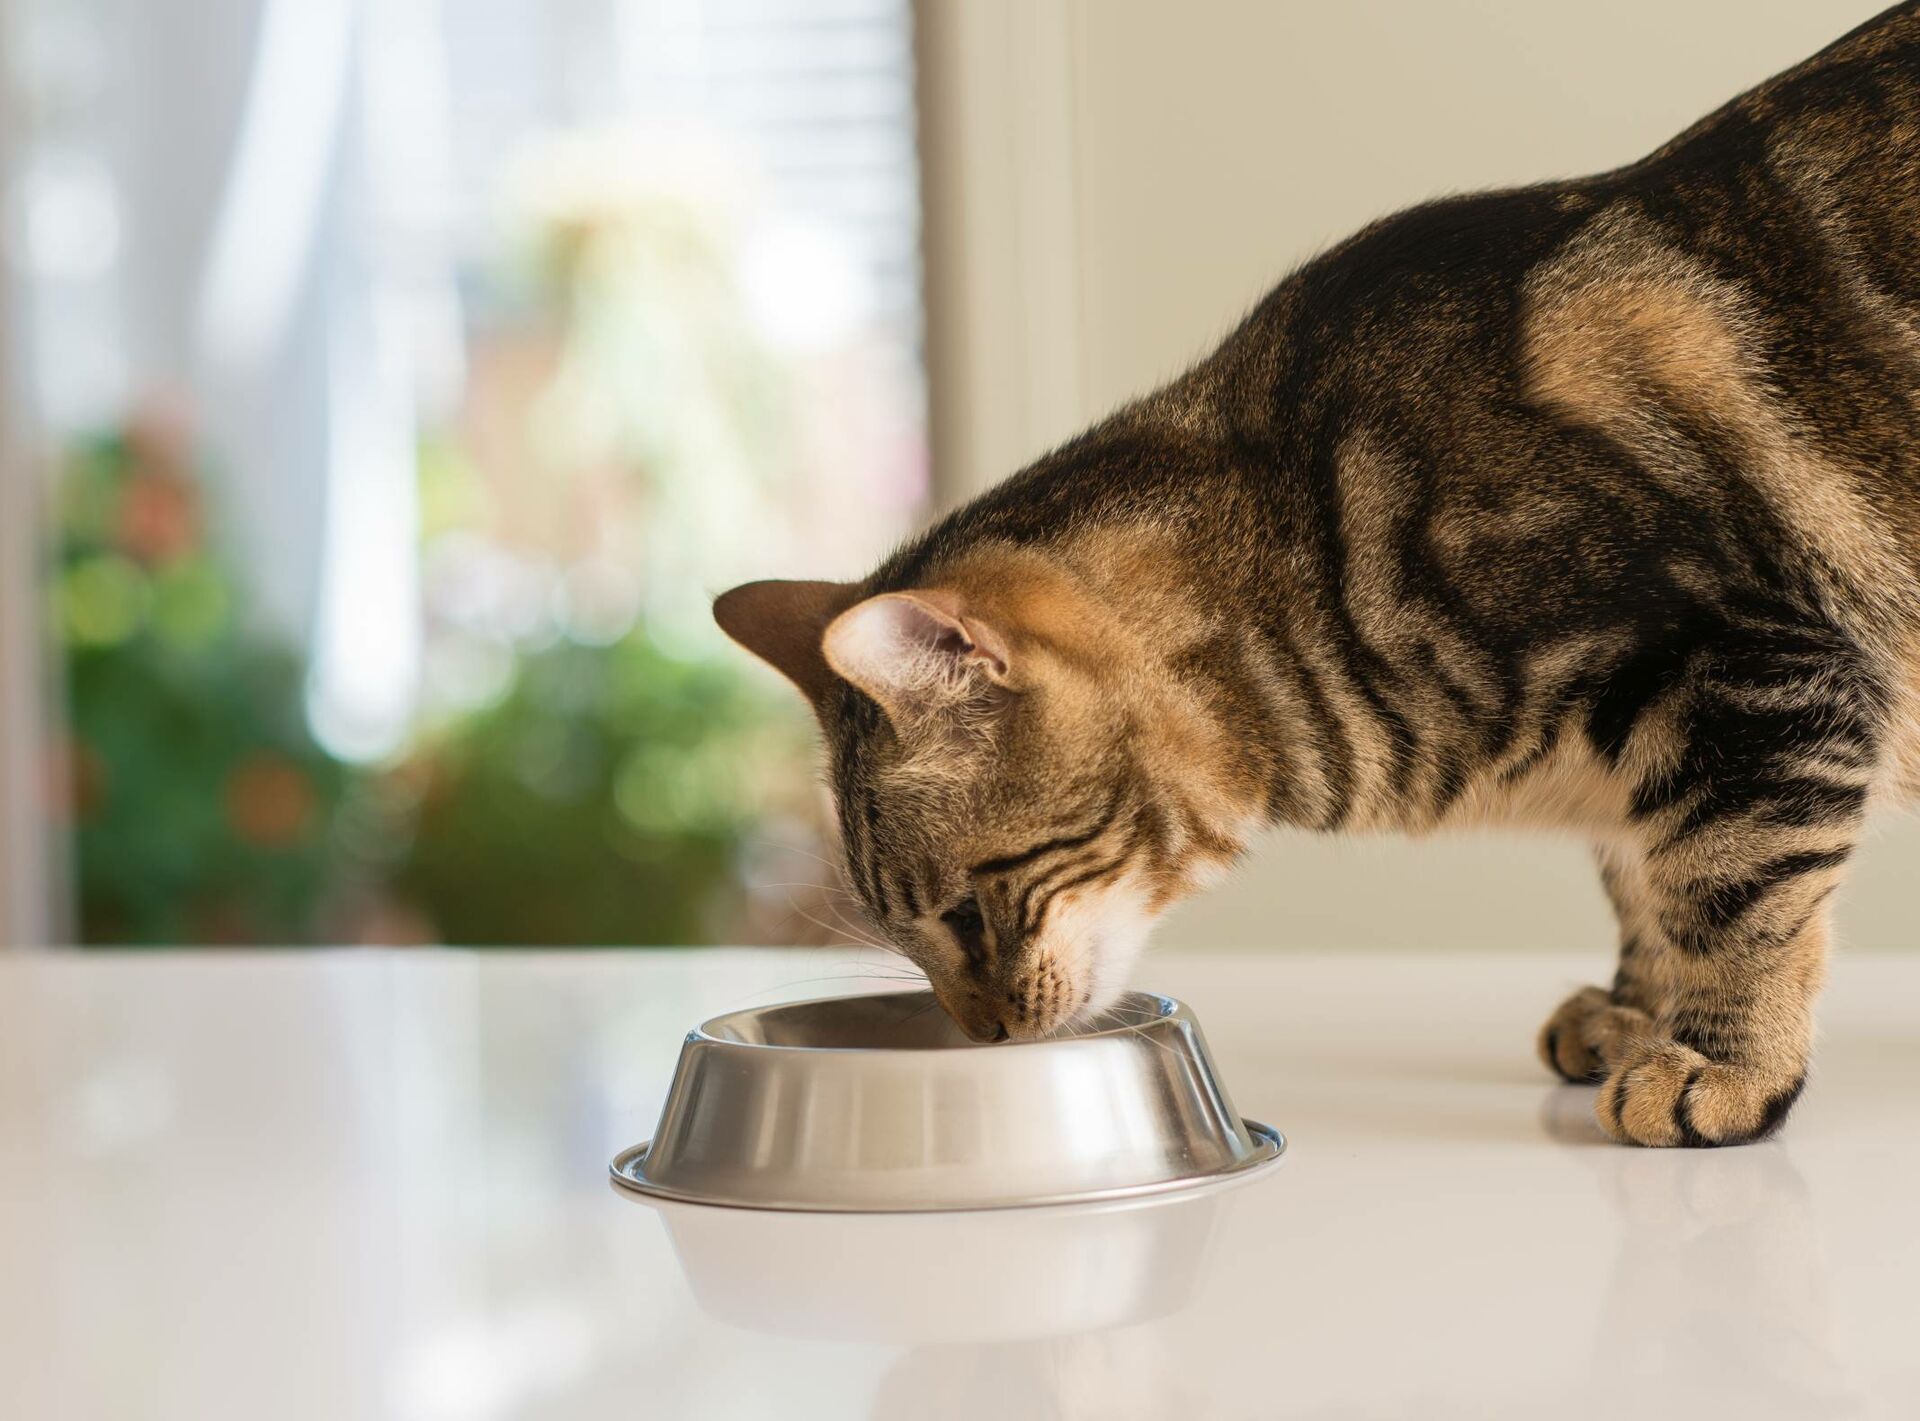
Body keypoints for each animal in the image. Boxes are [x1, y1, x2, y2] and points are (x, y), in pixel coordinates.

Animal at [714, 2, 1920, 1144]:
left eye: (966, 909)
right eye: (912, 935)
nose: (984, 1036)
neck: (1300, 541)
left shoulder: (1748, 671)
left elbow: (1733, 889)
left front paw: (1720, 1063)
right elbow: (1641, 878)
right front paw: (1633, 1012)